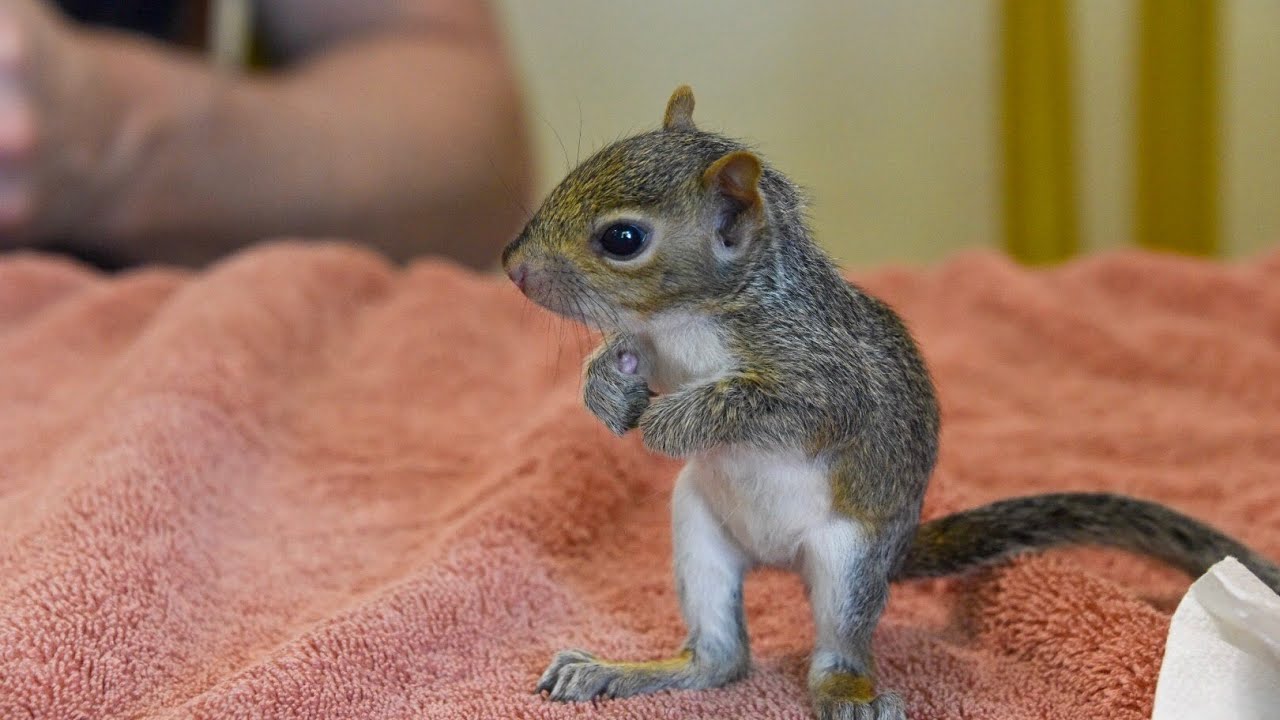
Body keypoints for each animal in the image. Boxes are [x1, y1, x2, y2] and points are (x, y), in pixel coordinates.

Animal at [501, 87, 1280, 712]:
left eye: (623, 238)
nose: (512, 268)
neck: (692, 316)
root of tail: (780, 558)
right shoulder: (662, 344)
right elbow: (626, 359)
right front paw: (608, 384)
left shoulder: (826, 378)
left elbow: (769, 405)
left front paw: (670, 421)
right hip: (699, 529)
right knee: (721, 660)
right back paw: (624, 672)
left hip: (849, 559)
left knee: (834, 644)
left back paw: (847, 693)